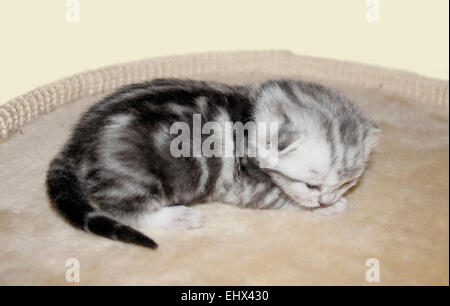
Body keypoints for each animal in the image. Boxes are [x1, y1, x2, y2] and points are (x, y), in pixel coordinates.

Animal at [45, 79, 378, 249]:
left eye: (348, 182)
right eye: (310, 185)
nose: (327, 198)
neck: (252, 117)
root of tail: (77, 141)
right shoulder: (243, 184)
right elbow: (283, 197)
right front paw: (328, 208)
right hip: (134, 175)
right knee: (124, 210)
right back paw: (179, 216)